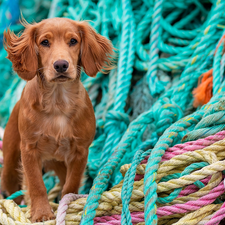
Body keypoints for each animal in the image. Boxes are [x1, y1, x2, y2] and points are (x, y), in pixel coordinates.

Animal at [1, 17, 113, 221]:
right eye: (45, 42)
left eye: (73, 41)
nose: (61, 65)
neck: (57, 102)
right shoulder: (29, 150)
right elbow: (36, 184)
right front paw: (41, 212)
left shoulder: (80, 152)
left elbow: (71, 184)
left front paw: (67, 205)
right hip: (10, 164)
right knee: (14, 189)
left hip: (60, 164)